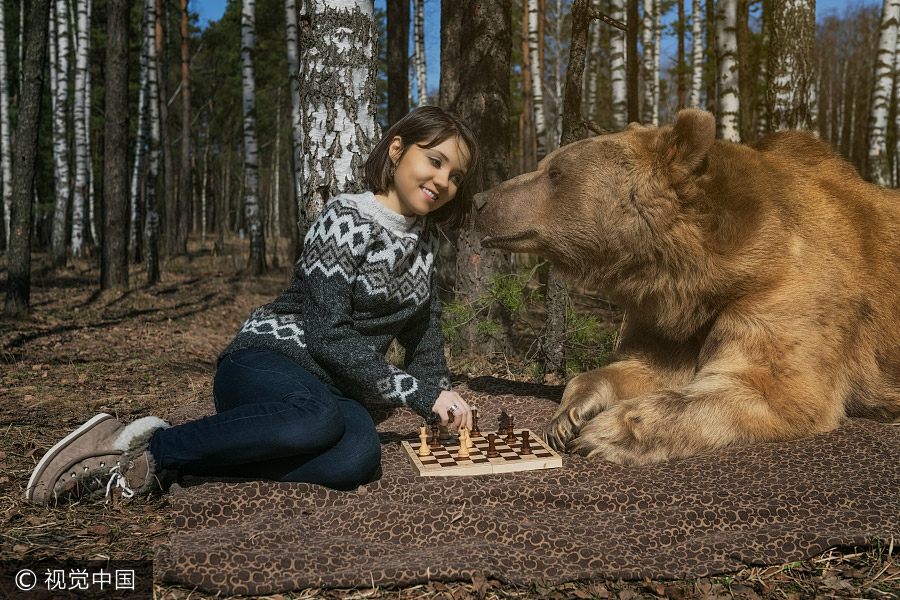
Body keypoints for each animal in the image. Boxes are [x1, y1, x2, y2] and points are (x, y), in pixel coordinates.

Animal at [474, 109, 900, 464]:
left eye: (555, 173)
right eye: (547, 166)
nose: (480, 199)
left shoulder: (786, 288)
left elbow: (770, 388)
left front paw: (607, 432)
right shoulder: (667, 317)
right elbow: (642, 366)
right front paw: (567, 417)